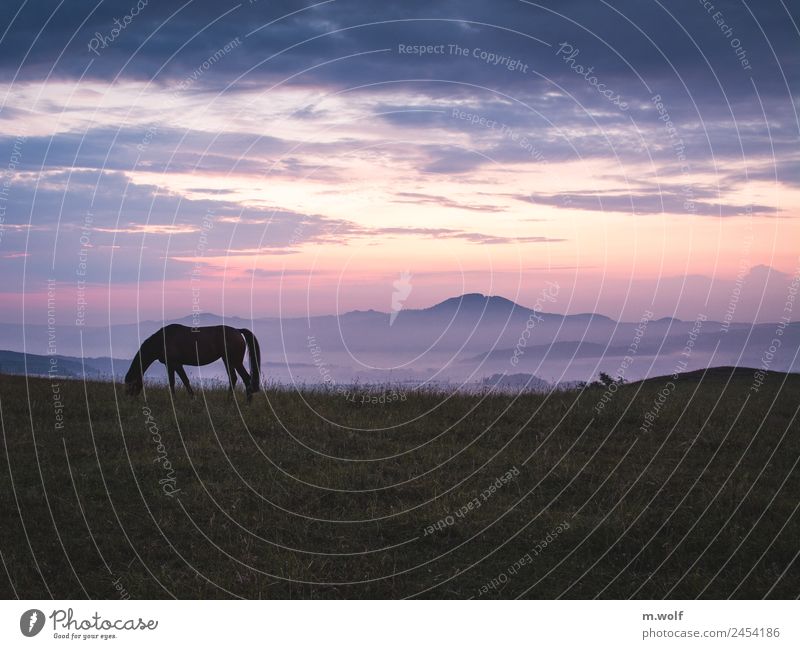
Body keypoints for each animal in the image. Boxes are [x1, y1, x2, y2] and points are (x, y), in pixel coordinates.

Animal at [125, 324, 260, 400]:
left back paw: (246, 402)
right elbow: (175, 382)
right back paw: (232, 401)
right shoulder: (172, 365)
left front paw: (187, 399)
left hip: (235, 361)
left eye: (131, 384)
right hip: (227, 360)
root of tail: (238, 331)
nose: (129, 398)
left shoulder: (175, 364)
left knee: (245, 378)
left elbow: (181, 381)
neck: (161, 340)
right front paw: (179, 399)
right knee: (234, 377)